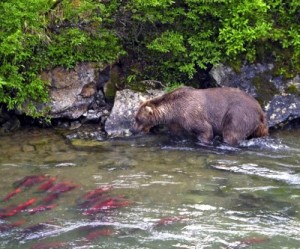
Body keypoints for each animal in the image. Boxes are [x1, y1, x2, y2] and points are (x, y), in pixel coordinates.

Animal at [132, 86, 268, 146]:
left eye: (138, 119)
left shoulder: (191, 114)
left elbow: (205, 129)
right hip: (259, 126)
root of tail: (260, 110)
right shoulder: (176, 121)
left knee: (231, 133)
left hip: (238, 115)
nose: (133, 130)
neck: (174, 110)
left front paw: (204, 141)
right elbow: (176, 133)